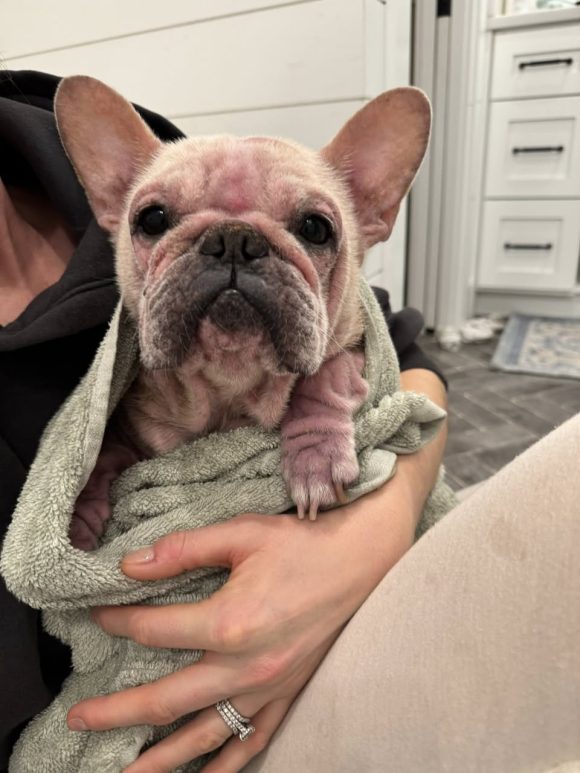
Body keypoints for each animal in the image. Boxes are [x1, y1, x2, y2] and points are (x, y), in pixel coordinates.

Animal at [53, 76, 430, 550]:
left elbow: (323, 380)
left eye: (316, 228)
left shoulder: (352, 346)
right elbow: (102, 453)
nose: (233, 238)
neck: (228, 386)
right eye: (152, 219)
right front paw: (80, 516)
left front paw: (316, 457)